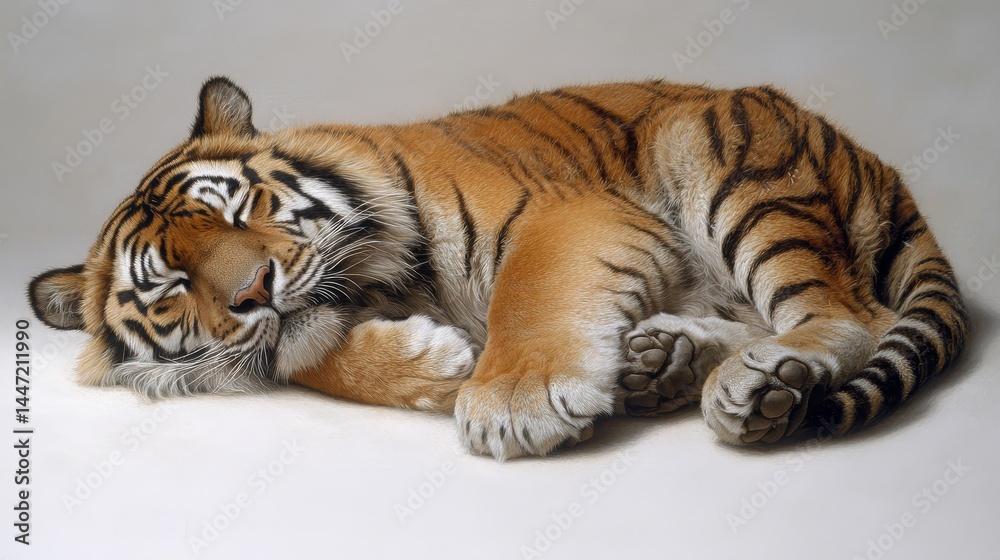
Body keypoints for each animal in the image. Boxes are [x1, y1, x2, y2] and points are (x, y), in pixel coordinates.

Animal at [28, 76, 968, 460]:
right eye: (171, 284)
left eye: (234, 213)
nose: (256, 290)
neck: (376, 280)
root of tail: (875, 161)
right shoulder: (313, 321)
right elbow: (310, 354)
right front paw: (441, 365)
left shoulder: (568, 214)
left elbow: (532, 291)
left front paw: (511, 397)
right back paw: (670, 363)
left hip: (720, 156)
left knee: (852, 315)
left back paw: (756, 382)